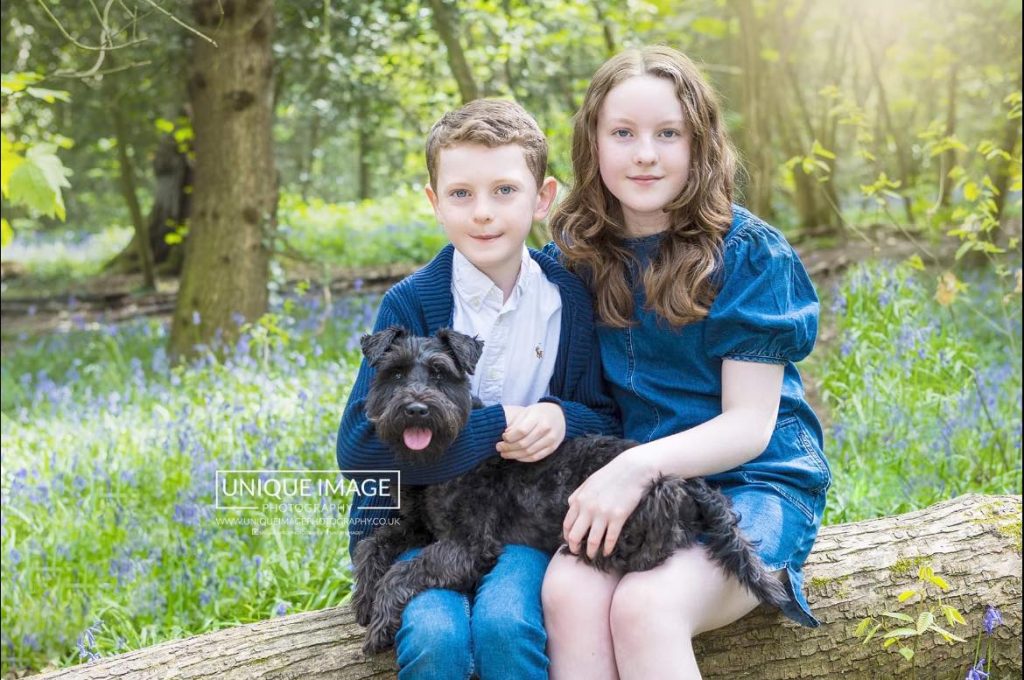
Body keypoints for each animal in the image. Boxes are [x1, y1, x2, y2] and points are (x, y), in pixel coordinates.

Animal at [348, 327, 786, 655]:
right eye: (395, 373)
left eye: (440, 373)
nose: (416, 410)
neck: (442, 456)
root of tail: (696, 484)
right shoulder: (419, 526)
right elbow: (373, 544)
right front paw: (364, 598)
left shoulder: (467, 545)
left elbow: (404, 569)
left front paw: (380, 619)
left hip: (641, 497)